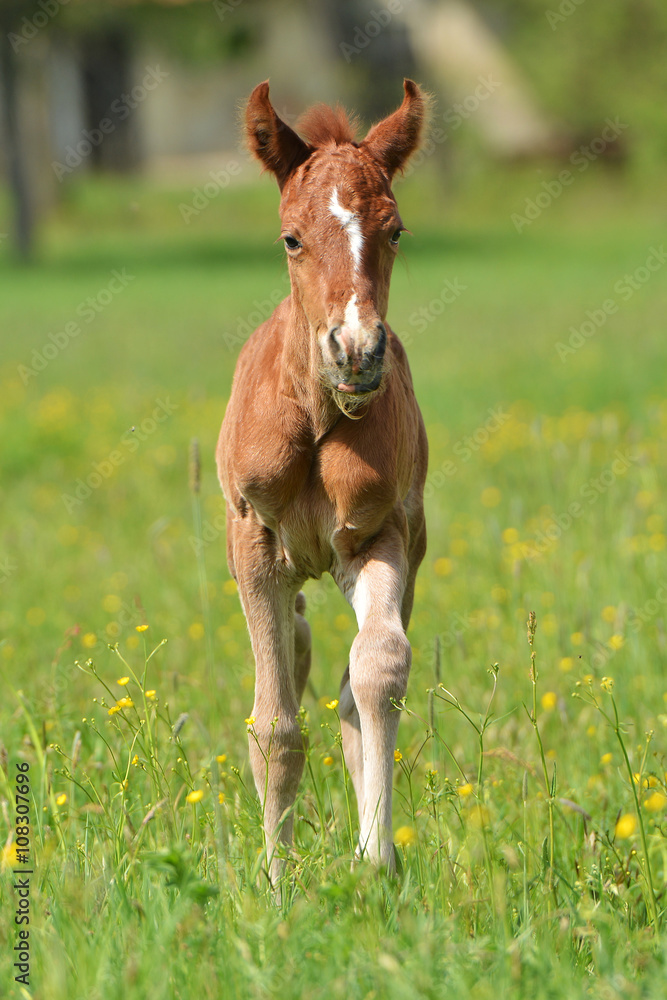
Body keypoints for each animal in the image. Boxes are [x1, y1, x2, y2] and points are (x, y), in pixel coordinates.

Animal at [217, 79, 429, 885]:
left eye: (394, 232)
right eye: (291, 238)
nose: (357, 351)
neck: (315, 420)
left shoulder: (380, 534)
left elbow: (376, 672)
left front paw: (376, 858)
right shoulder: (253, 542)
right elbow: (274, 725)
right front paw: (275, 882)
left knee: (344, 684)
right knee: (297, 648)